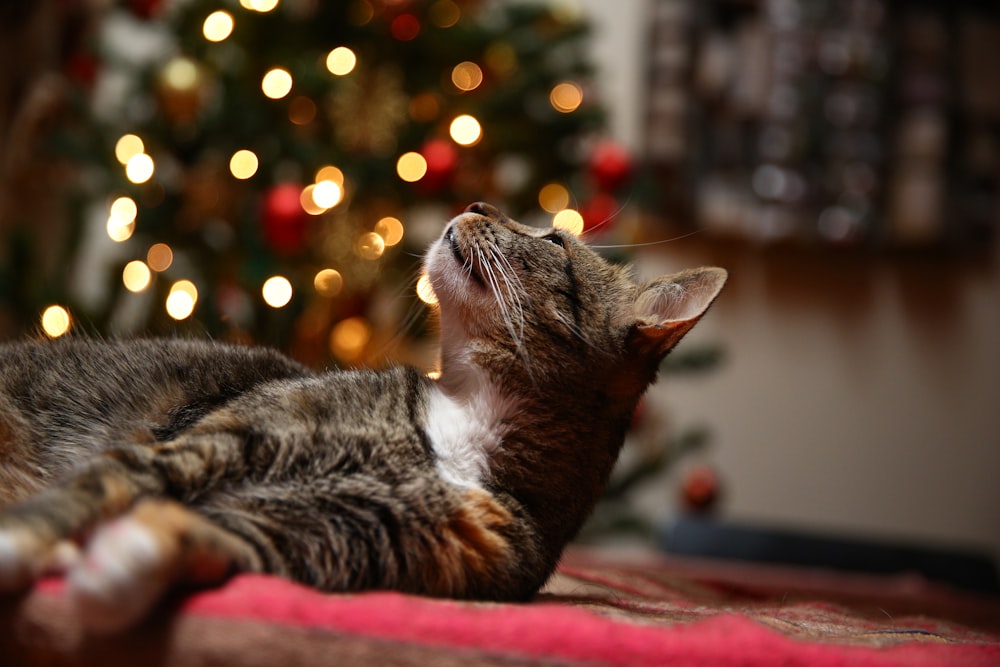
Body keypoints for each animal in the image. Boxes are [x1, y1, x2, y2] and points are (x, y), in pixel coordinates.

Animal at [0, 201, 724, 636]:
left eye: (552, 237)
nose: (478, 203)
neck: (457, 431)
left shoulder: (325, 537)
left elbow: (211, 541)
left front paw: (117, 563)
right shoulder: (211, 441)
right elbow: (92, 488)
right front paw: (28, 543)